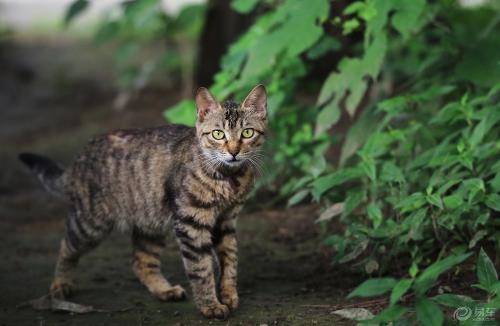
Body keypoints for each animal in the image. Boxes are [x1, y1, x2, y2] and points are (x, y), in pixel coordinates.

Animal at [19, 84, 268, 318]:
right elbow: (201, 268)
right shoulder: (191, 222)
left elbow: (230, 261)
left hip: (151, 221)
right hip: (90, 224)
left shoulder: (226, 221)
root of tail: (80, 156)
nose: (234, 152)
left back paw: (164, 290)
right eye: (218, 134)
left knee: (141, 261)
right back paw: (60, 284)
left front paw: (228, 295)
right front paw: (210, 305)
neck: (228, 178)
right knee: (66, 246)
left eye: (247, 133)